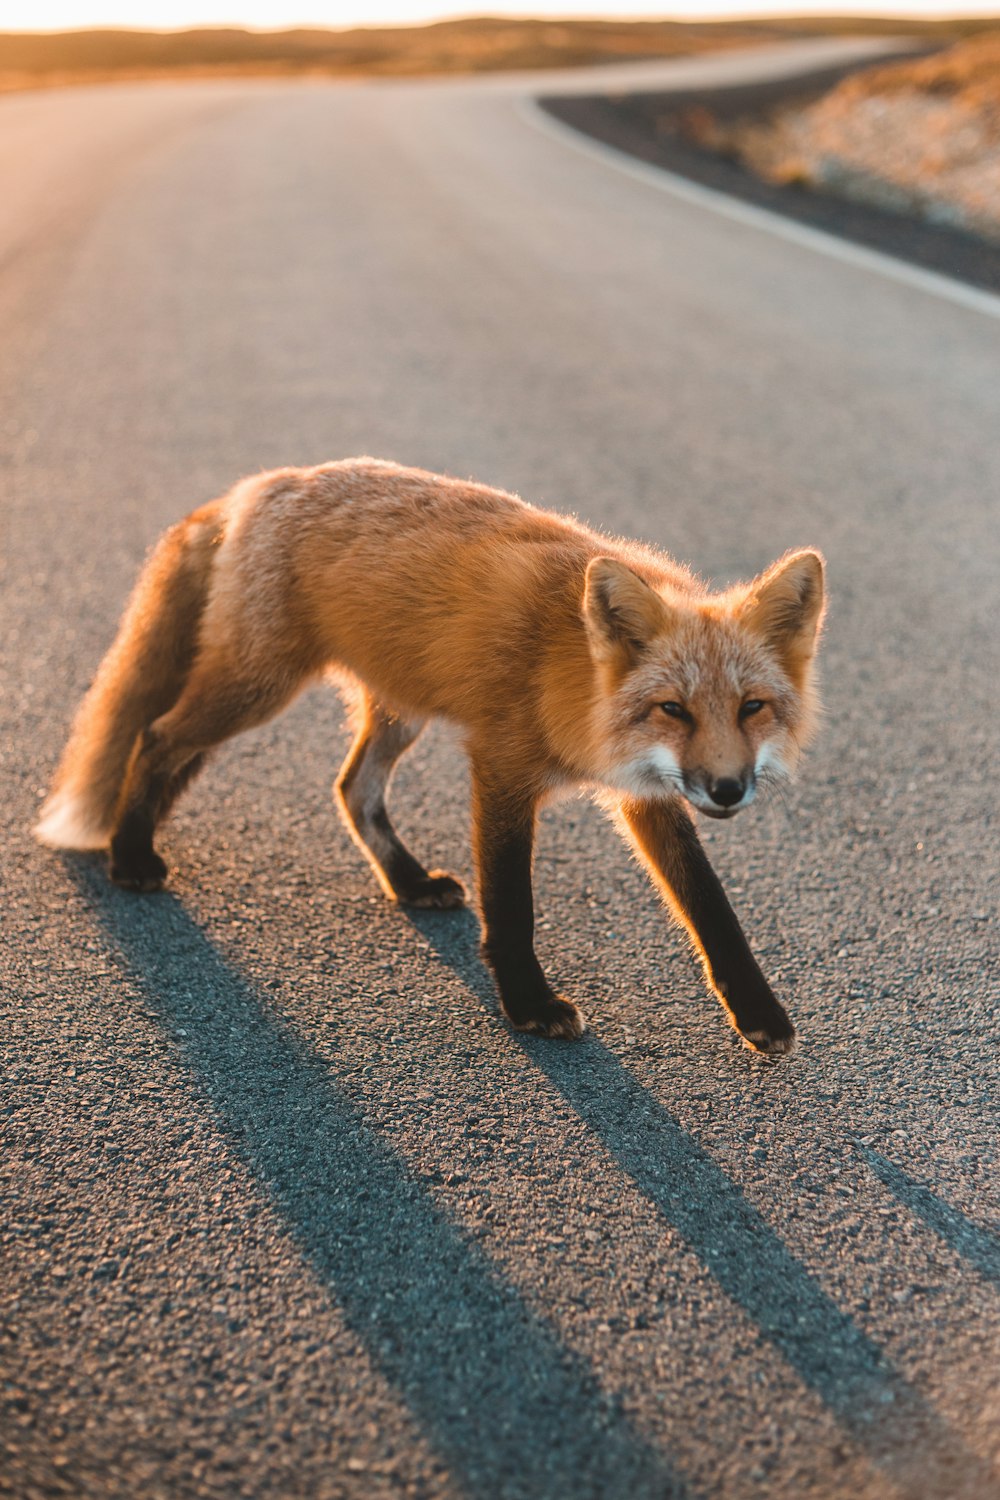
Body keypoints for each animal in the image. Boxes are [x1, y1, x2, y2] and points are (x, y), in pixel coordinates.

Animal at [35, 456, 827, 1056]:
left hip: (396, 712)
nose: (727, 789)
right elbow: (512, 905)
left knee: (351, 790)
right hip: (258, 689)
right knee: (156, 736)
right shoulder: (503, 767)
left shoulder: (647, 790)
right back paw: (130, 854)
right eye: (674, 709)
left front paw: (758, 1014)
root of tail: (263, 482)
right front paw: (528, 1004)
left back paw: (409, 882)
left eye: (751, 708)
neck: (567, 668)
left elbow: (713, 908)